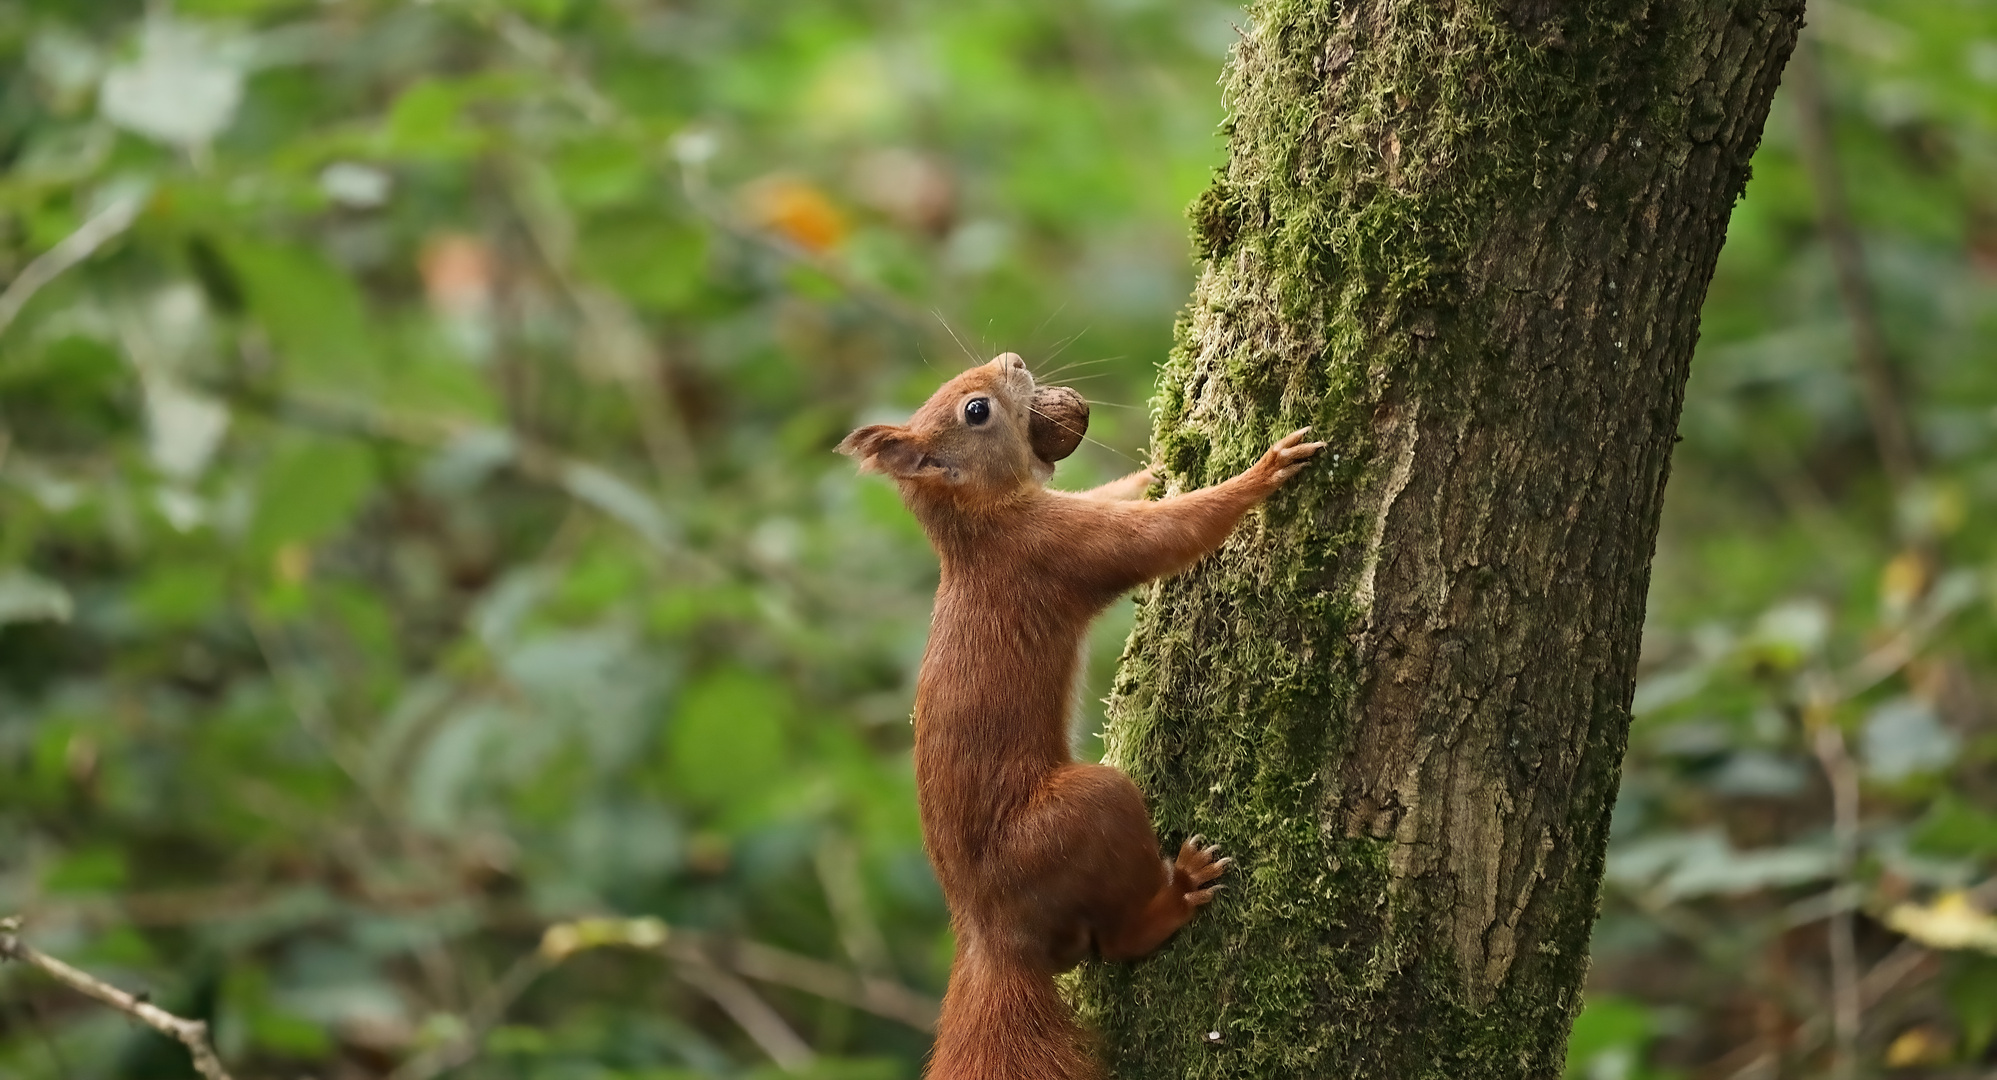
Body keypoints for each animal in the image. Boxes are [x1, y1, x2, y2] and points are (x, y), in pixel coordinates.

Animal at [834, 355, 1318, 1078]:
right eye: (976, 411)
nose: (1012, 361)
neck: (982, 525)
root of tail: (992, 934)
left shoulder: (1071, 517)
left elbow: (1117, 495)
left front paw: (1160, 461)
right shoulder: (1059, 549)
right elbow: (1162, 534)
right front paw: (1264, 469)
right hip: (1081, 817)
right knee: (1118, 939)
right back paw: (1177, 893)